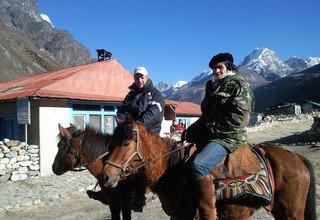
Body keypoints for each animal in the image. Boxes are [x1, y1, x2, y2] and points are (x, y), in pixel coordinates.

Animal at [101, 116, 316, 219]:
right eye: (111, 142)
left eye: (126, 143)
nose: (105, 177)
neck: (171, 170)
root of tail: (296, 157)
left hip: (292, 213)